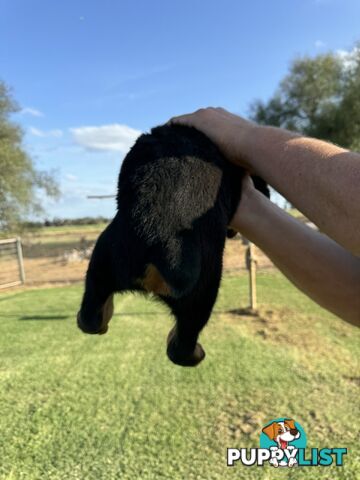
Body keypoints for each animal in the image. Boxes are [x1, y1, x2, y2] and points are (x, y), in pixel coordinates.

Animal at [77, 124, 268, 368]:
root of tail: (163, 239)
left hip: (104, 257)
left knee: (91, 311)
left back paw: (96, 320)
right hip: (204, 287)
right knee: (184, 342)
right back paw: (194, 353)